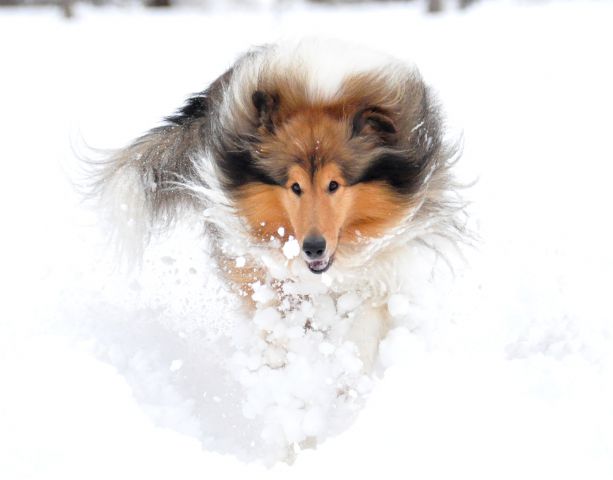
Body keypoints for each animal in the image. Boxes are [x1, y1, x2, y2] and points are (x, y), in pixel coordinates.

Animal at [93, 39, 462, 368]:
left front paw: (349, 378)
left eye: (334, 184)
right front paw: (281, 357)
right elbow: (273, 306)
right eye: (294, 186)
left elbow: (365, 323)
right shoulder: (247, 252)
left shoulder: (384, 262)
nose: (312, 248)